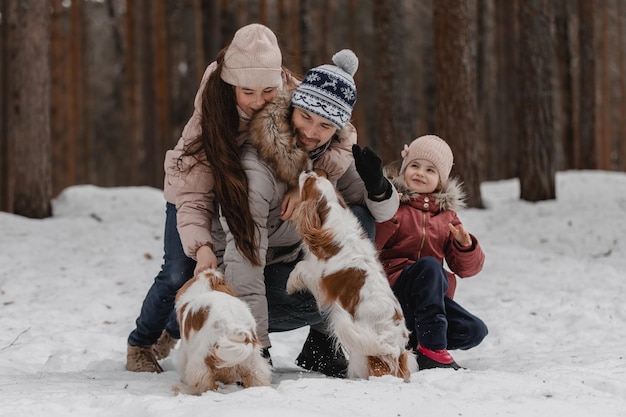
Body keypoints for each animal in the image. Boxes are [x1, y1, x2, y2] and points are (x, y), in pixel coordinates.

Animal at [172, 266, 270, 394]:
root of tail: (236, 329)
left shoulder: (186, 348)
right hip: (253, 360)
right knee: (257, 377)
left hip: (201, 358)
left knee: (204, 381)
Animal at [286, 169, 414, 380]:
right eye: (318, 174)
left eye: (309, 181)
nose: (307, 170)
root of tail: (395, 349)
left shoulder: (320, 277)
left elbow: (301, 267)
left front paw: (290, 284)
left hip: (360, 353)